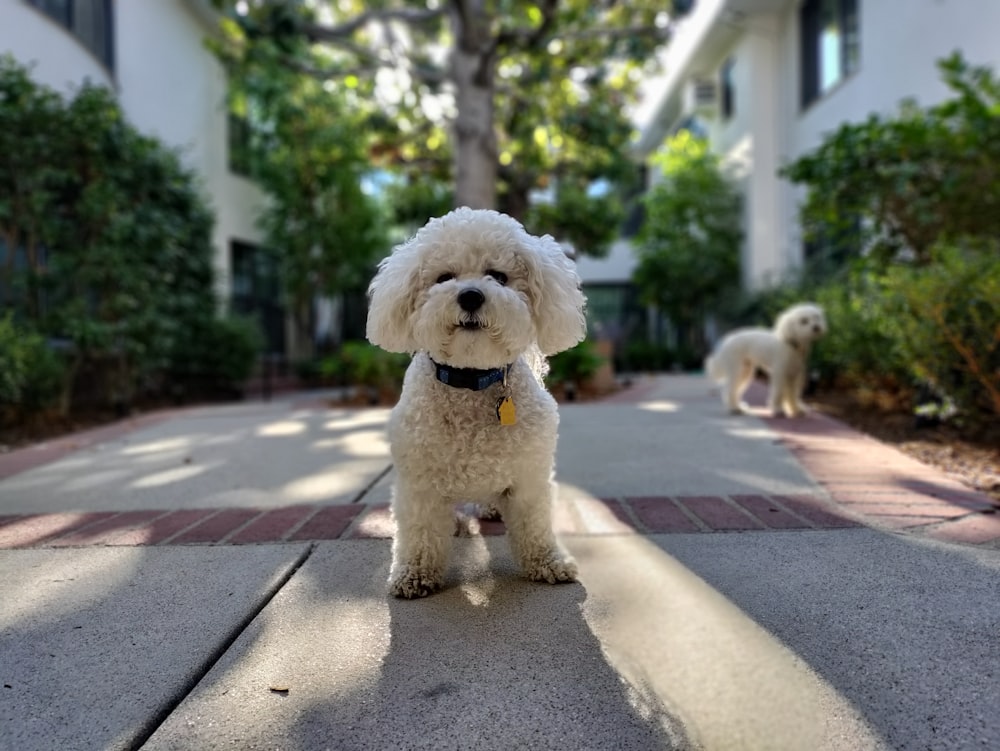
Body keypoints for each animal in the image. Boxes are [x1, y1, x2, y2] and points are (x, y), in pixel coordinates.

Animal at [366, 206, 584, 600]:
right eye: (444, 277)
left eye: (498, 276)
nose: (469, 296)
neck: (471, 380)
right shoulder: (419, 481)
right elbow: (420, 531)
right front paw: (414, 573)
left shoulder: (529, 475)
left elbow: (535, 524)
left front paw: (548, 561)